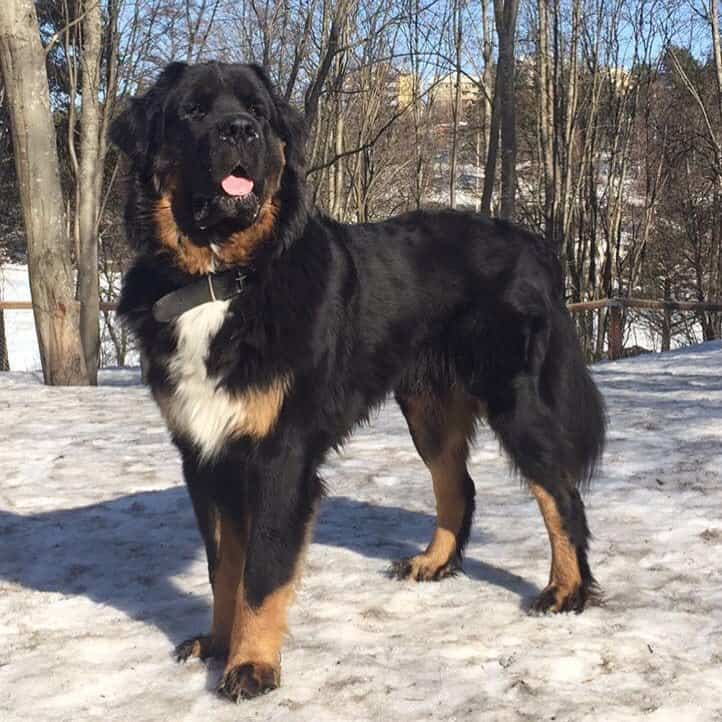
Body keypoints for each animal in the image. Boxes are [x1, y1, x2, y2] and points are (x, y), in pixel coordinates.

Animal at [112, 60, 604, 696]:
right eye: (193, 111)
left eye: (257, 111)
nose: (240, 130)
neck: (221, 281)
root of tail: (531, 242)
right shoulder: (203, 453)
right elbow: (224, 565)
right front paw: (220, 644)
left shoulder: (280, 455)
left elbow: (261, 572)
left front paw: (251, 664)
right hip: (428, 409)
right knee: (460, 487)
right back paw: (434, 562)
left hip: (513, 399)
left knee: (560, 493)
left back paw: (566, 589)